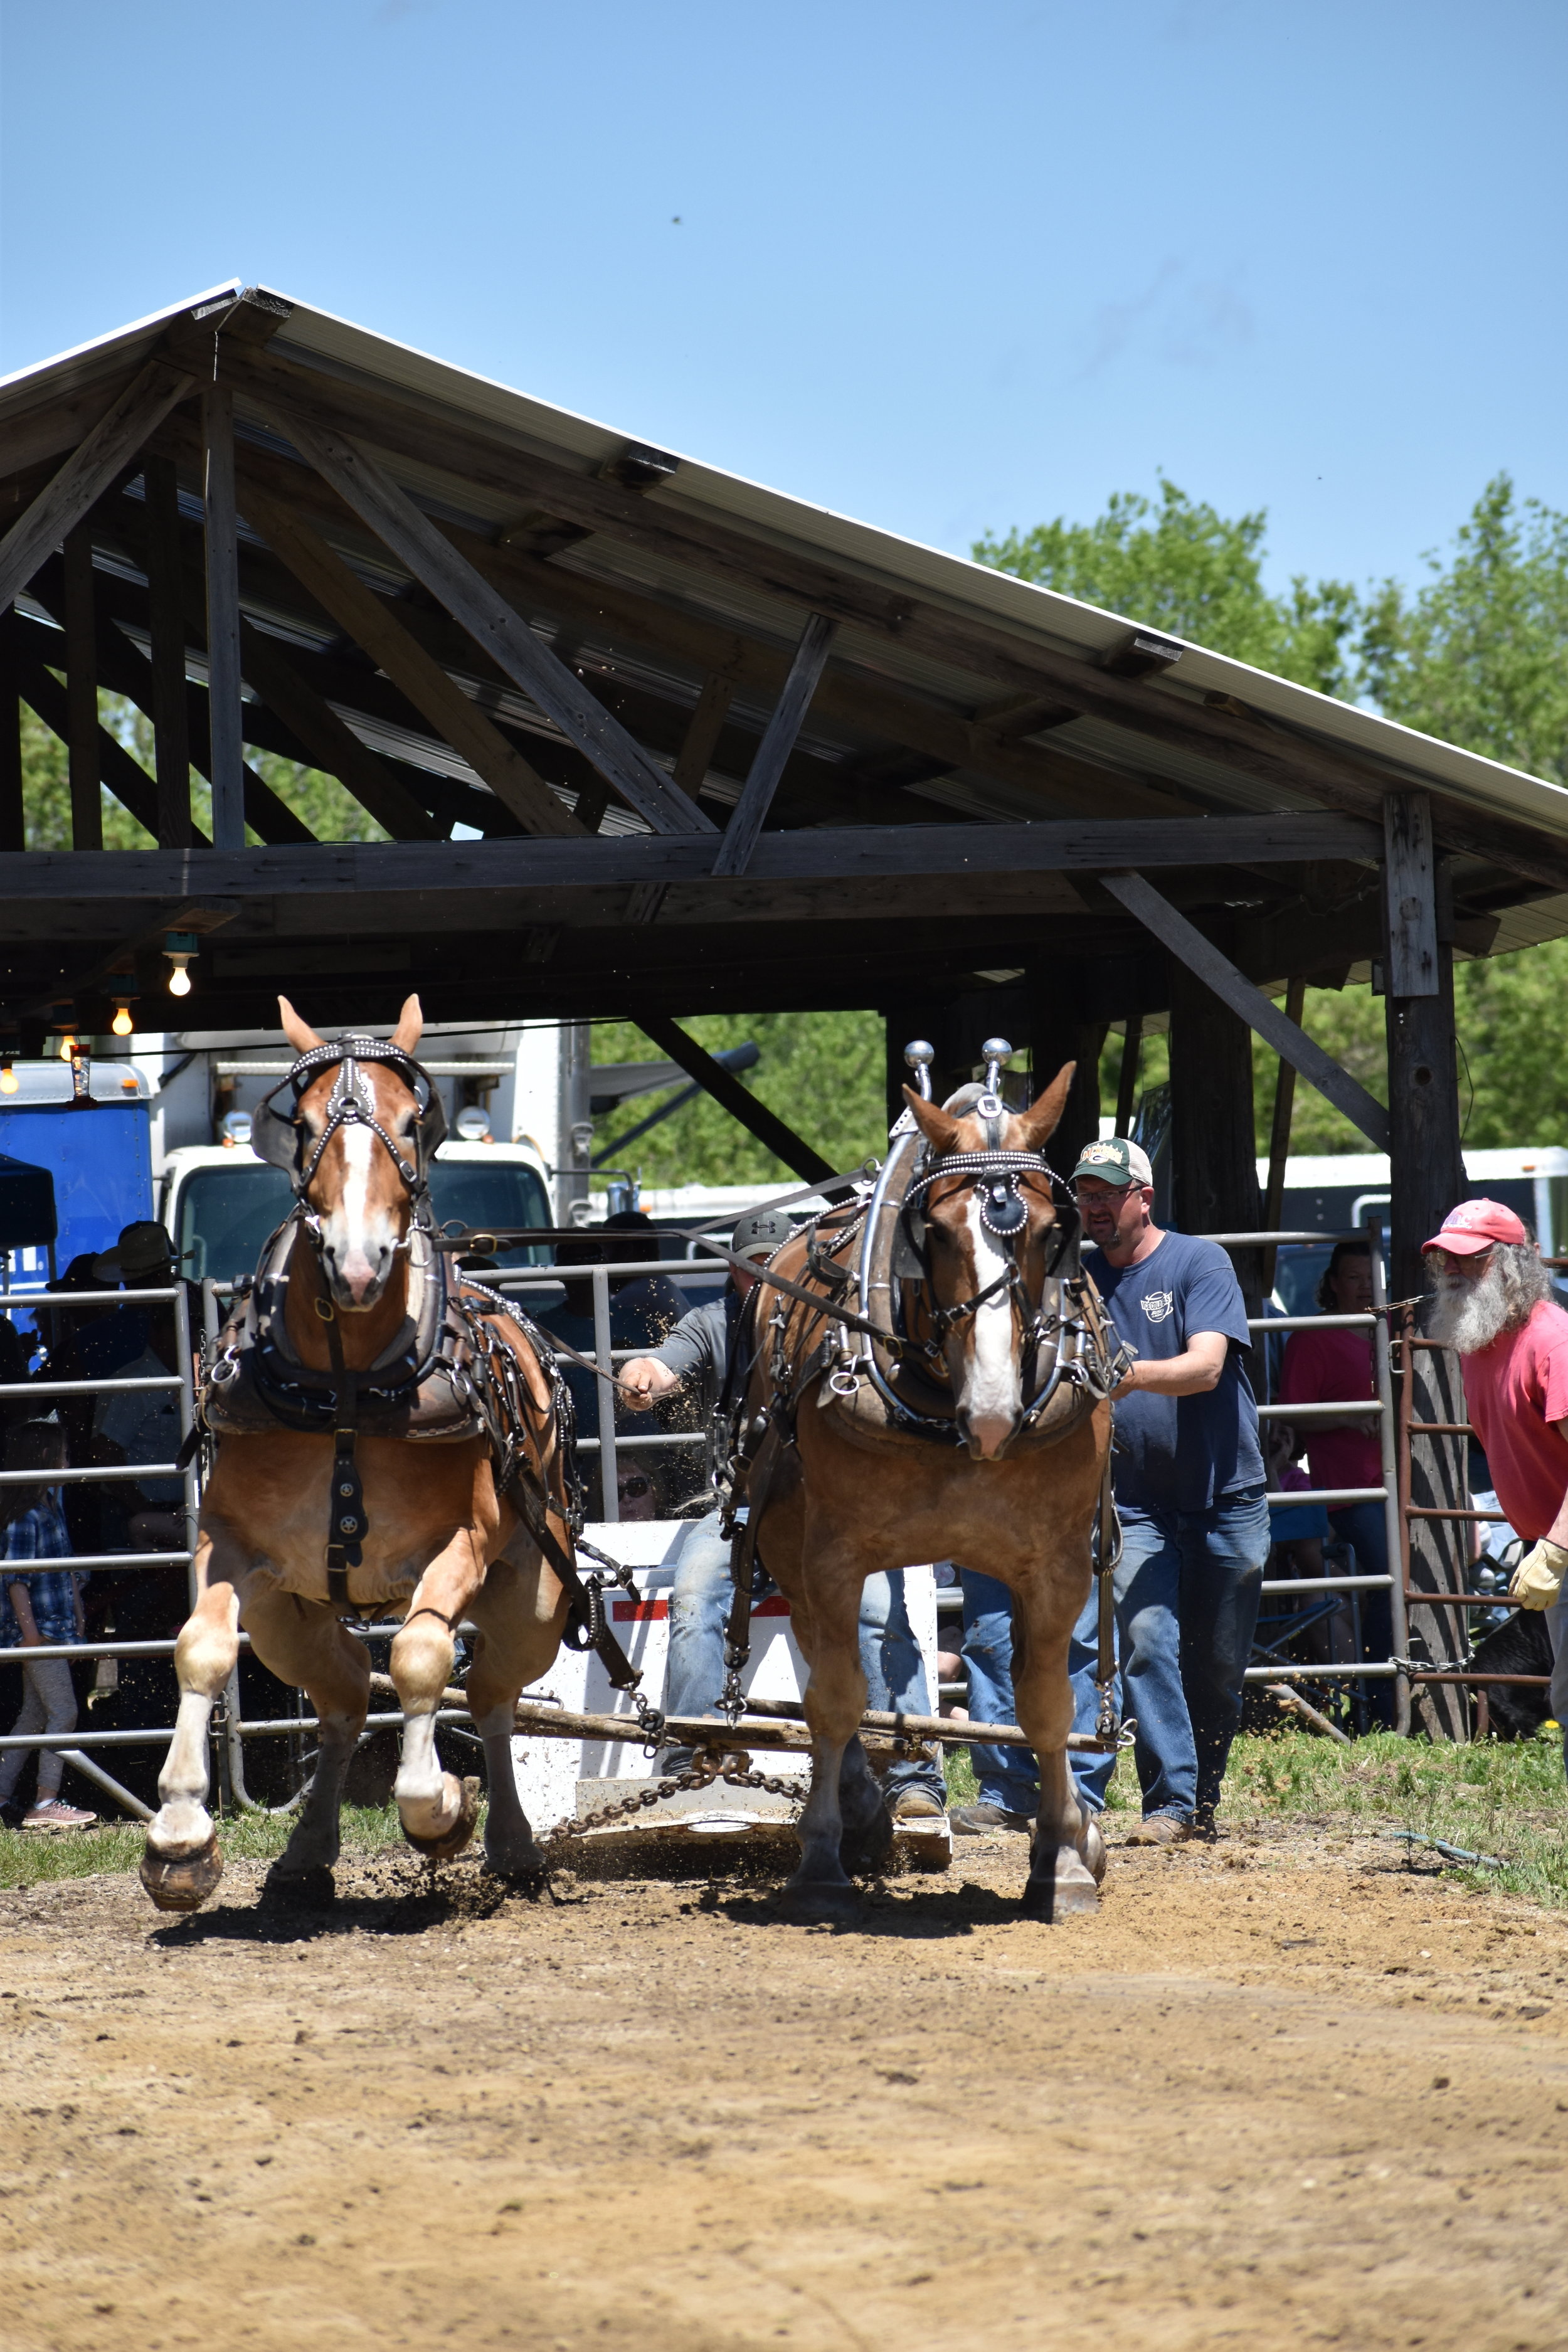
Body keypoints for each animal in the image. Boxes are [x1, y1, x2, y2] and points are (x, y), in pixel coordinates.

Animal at [142, 997, 576, 1910]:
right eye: (304, 1127)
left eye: (414, 1123)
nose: (356, 1260)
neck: (345, 1389)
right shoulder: (231, 1545)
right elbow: (200, 1649)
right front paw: (180, 1834)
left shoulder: (460, 1547)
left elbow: (419, 1657)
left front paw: (437, 1805)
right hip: (288, 1616)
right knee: (342, 1698)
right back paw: (306, 1850)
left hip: (537, 1598)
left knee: (492, 1694)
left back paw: (512, 1841)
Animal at [728, 1044, 1123, 1910]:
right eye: (935, 1233)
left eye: (1053, 1230)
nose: (994, 1412)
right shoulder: (832, 1559)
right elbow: (837, 1698)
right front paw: (821, 1855)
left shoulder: (1056, 1564)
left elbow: (1047, 1706)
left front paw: (1065, 1851)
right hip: (790, 1550)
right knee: (824, 1672)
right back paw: (856, 1812)